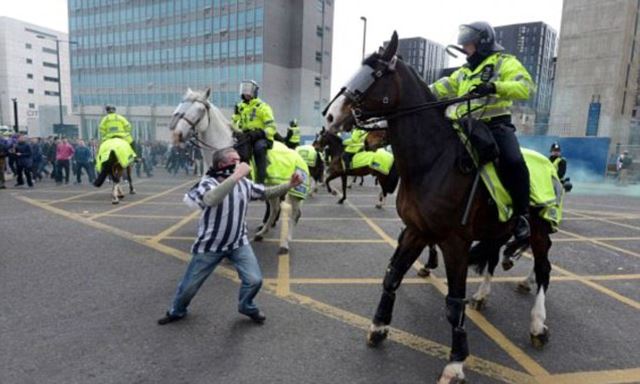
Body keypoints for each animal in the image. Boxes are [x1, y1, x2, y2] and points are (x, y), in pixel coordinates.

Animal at [170, 88, 304, 254]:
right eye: (182, 106)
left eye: (200, 110)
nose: (177, 135)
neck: (223, 147)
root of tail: (294, 151)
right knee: (274, 209)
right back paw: (262, 233)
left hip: (291, 192)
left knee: (291, 212)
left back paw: (285, 242)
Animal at [322, 32, 552, 380]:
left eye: (376, 73)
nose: (331, 116)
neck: (433, 162)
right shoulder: (416, 230)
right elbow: (392, 276)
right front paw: (379, 326)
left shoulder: (455, 242)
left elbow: (454, 302)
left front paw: (456, 362)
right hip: (498, 228)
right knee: (494, 258)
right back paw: (485, 294)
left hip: (539, 230)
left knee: (543, 269)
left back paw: (537, 323)